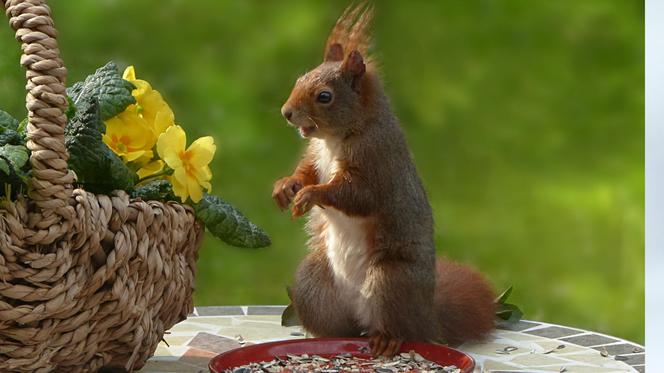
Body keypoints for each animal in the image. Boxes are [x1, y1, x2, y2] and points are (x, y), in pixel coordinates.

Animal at [272, 3, 496, 358]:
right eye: (299, 79)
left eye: (324, 96)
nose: (286, 112)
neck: (337, 138)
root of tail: (427, 318)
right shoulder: (315, 155)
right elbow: (305, 171)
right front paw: (286, 187)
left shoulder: (377, 163)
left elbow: (355, 195)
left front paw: (310, 195)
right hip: (311, 283)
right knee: (346, 327)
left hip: (391, 280)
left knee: (398, 327)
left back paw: (387, 339)